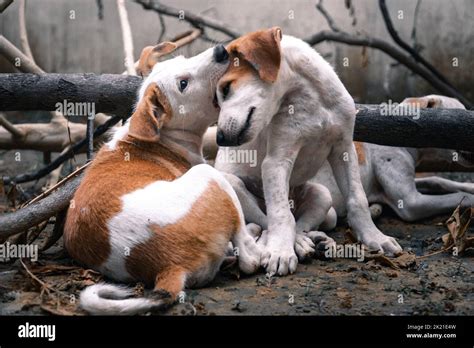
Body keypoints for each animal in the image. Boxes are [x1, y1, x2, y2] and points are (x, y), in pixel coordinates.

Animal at [63, 42, 262, 316]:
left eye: (183, 58)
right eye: (183, 84)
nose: (221, 50)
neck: (163, 138)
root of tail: (170, 267)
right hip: (208, 176)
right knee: (248, 257)